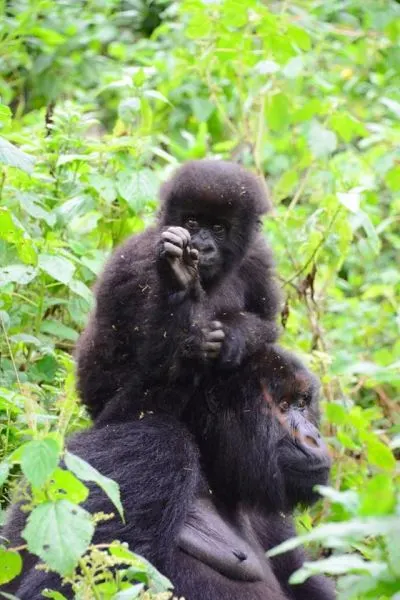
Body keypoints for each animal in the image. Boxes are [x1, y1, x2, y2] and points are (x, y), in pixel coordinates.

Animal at [3, 346, 334, 600]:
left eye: (302, 403)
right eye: (283, 405)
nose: (314, 438)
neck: (210, 472)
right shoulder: (152, 447)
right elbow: (58, 588)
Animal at [76, 159, 280, 422]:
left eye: (218, 228)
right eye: (192, 222)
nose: (201, 246)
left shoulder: (257, 258)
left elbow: (268, 326)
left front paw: (234, 334)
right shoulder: (137, 264)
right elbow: (159, 363)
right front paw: (178, 277)